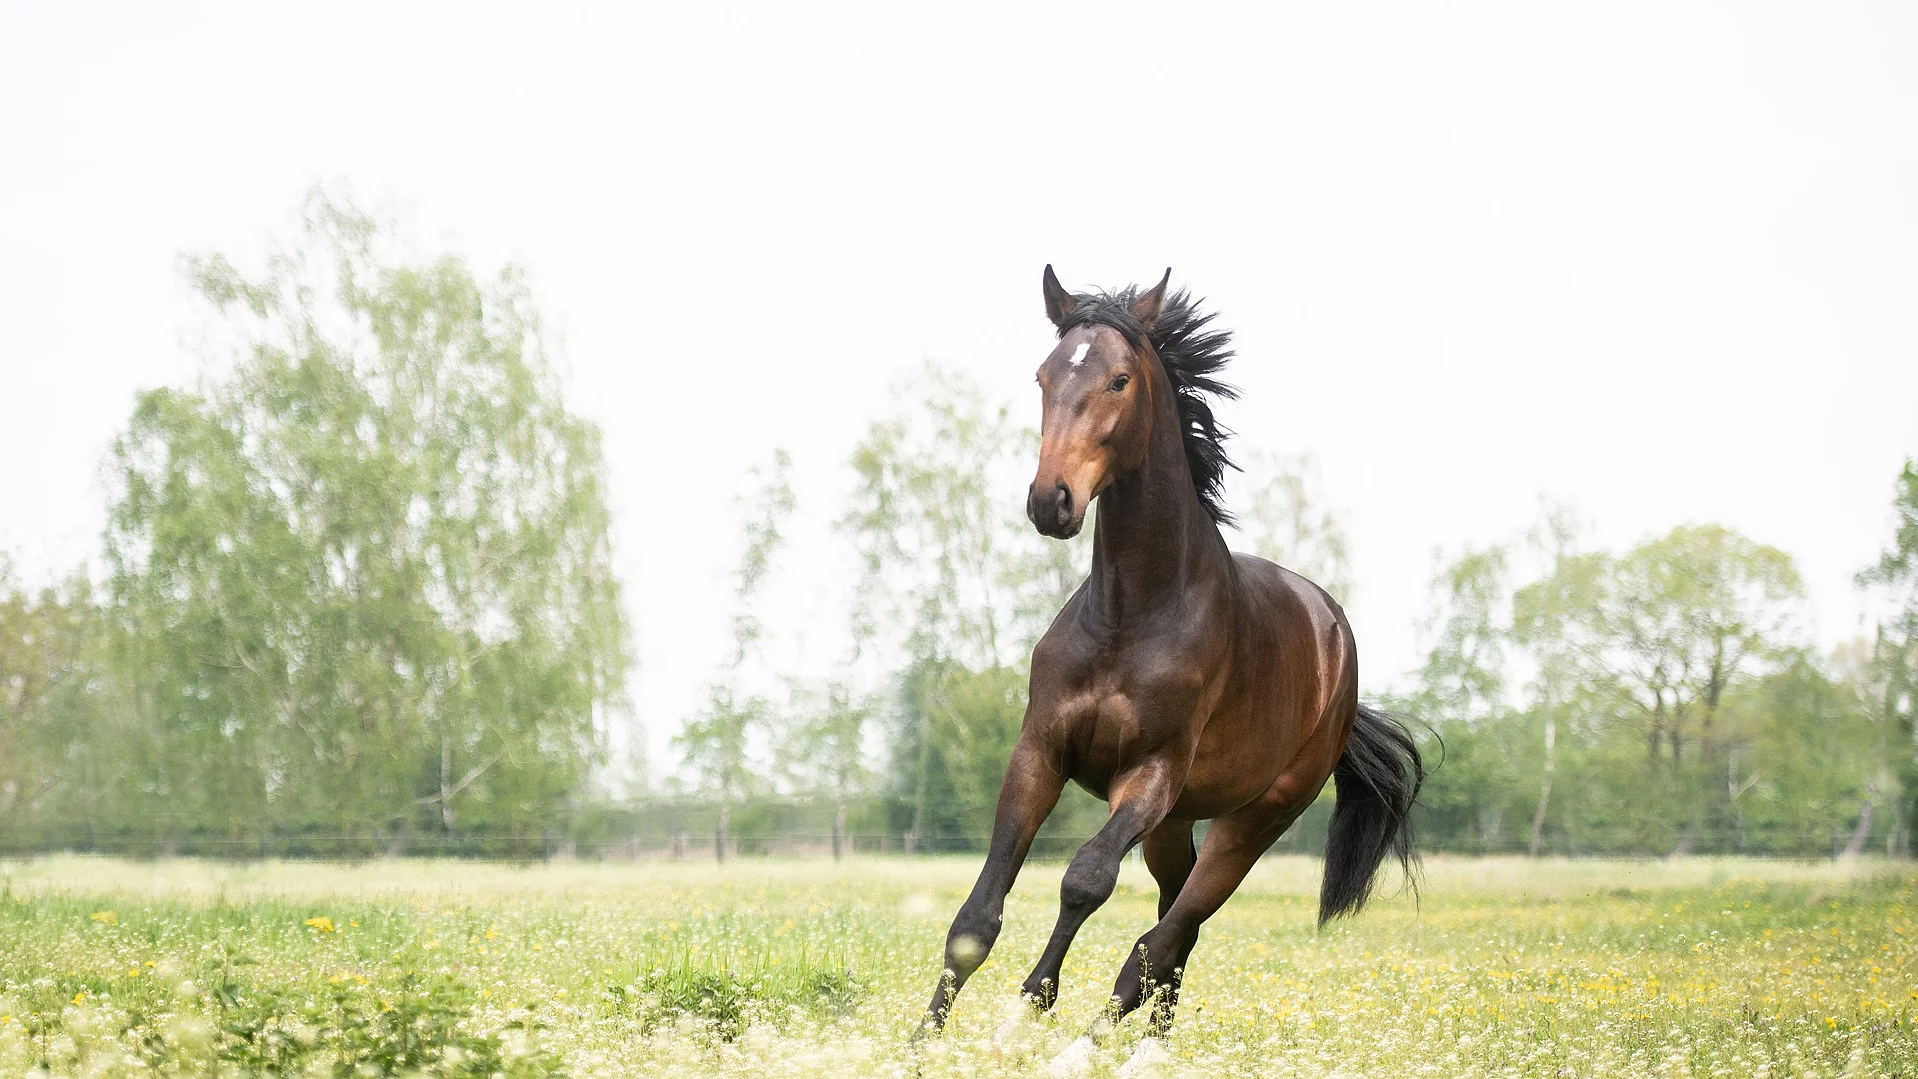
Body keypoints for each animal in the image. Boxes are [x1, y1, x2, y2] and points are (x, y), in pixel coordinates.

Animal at [917, 267, 1424, 1073]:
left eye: (1119, 379)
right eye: (1044, 375)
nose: (1051, 501)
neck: (1133, 614)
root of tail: (1336, 645)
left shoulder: (1149, 774)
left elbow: (1085, 880)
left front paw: (1022, 1021)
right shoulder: (1040, 753)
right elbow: (978, 913)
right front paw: (920, 1041)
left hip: (1253, 818)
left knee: (1168, 934)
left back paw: (1098, 1050)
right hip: (1175, 825)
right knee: (1172, 931)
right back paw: (1147, 1047)